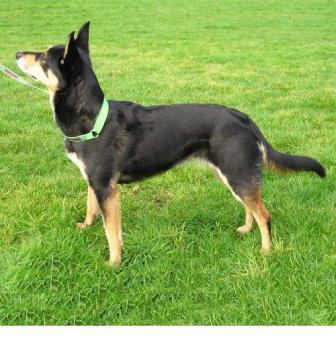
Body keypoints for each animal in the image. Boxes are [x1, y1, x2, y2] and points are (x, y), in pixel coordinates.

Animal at [15, 23, 326, 268]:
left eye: (43, 57)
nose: (17, 53)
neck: (91, 118)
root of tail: (244, 118)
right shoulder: (94, 182)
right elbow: (91, 208)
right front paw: (86, 226)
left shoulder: (106, 188)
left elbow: (111, 232)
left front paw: (113, 263)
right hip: (232, 175)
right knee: (251, 208)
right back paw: (246, 230)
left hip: (237, 173)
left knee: (264, 214)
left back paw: (266, 251)